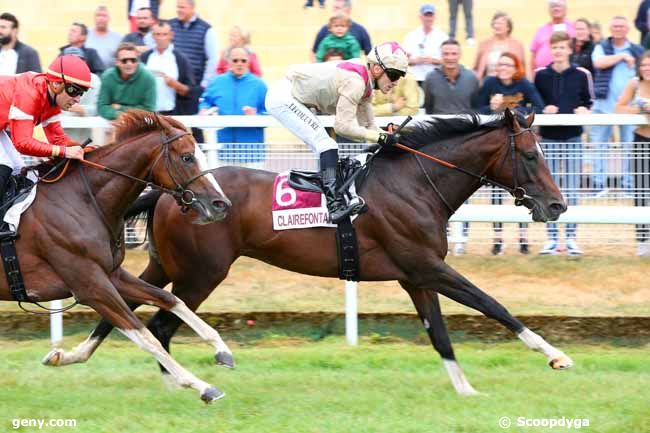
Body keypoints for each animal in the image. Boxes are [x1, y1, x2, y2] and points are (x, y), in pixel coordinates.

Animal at [0, 110, 233, 402]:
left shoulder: (112, 274)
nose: (222, 204)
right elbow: (145, 335)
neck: (81, 202)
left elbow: (171, 299)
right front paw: (201, 385)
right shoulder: (90, 286)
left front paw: (222, 349)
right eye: (187, 157)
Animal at [46, 110, 572, 394]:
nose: (557, 205)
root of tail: (168, 192)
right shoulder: (428, 266)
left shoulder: (416, 275)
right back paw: (183, 382)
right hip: (202, 273)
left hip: (164, 265)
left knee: (123, 308)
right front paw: (556, 356)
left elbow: (440, 334)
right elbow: (493, 305)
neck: (416, 183)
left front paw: (465, 389)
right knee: (158, 323)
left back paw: (71, 355)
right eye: (530, 155)